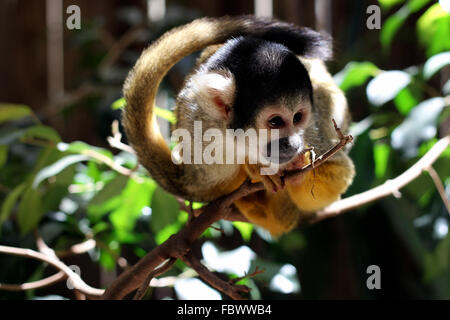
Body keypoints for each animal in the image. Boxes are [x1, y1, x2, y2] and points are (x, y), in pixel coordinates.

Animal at [123, 16, 356, 236]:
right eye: (275, 122)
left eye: (298, 117)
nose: (293, 144)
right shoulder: (198, 126)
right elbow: (209, 188)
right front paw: (255, 168)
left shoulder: (311, 128)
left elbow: (337, 177)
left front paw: (299, 168)